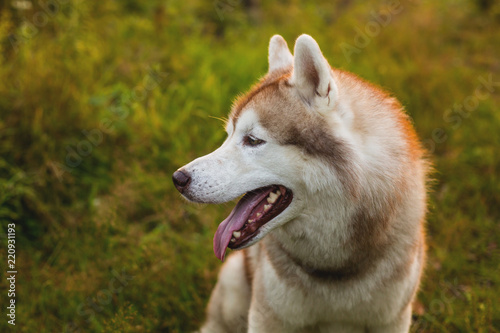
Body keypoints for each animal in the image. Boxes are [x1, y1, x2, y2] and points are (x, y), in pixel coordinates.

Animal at [174, 34, 428, 332]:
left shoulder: (392, 318)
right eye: (228, 135)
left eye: (253, 140)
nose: (178, 178)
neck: (333, 267)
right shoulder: (267, 317)